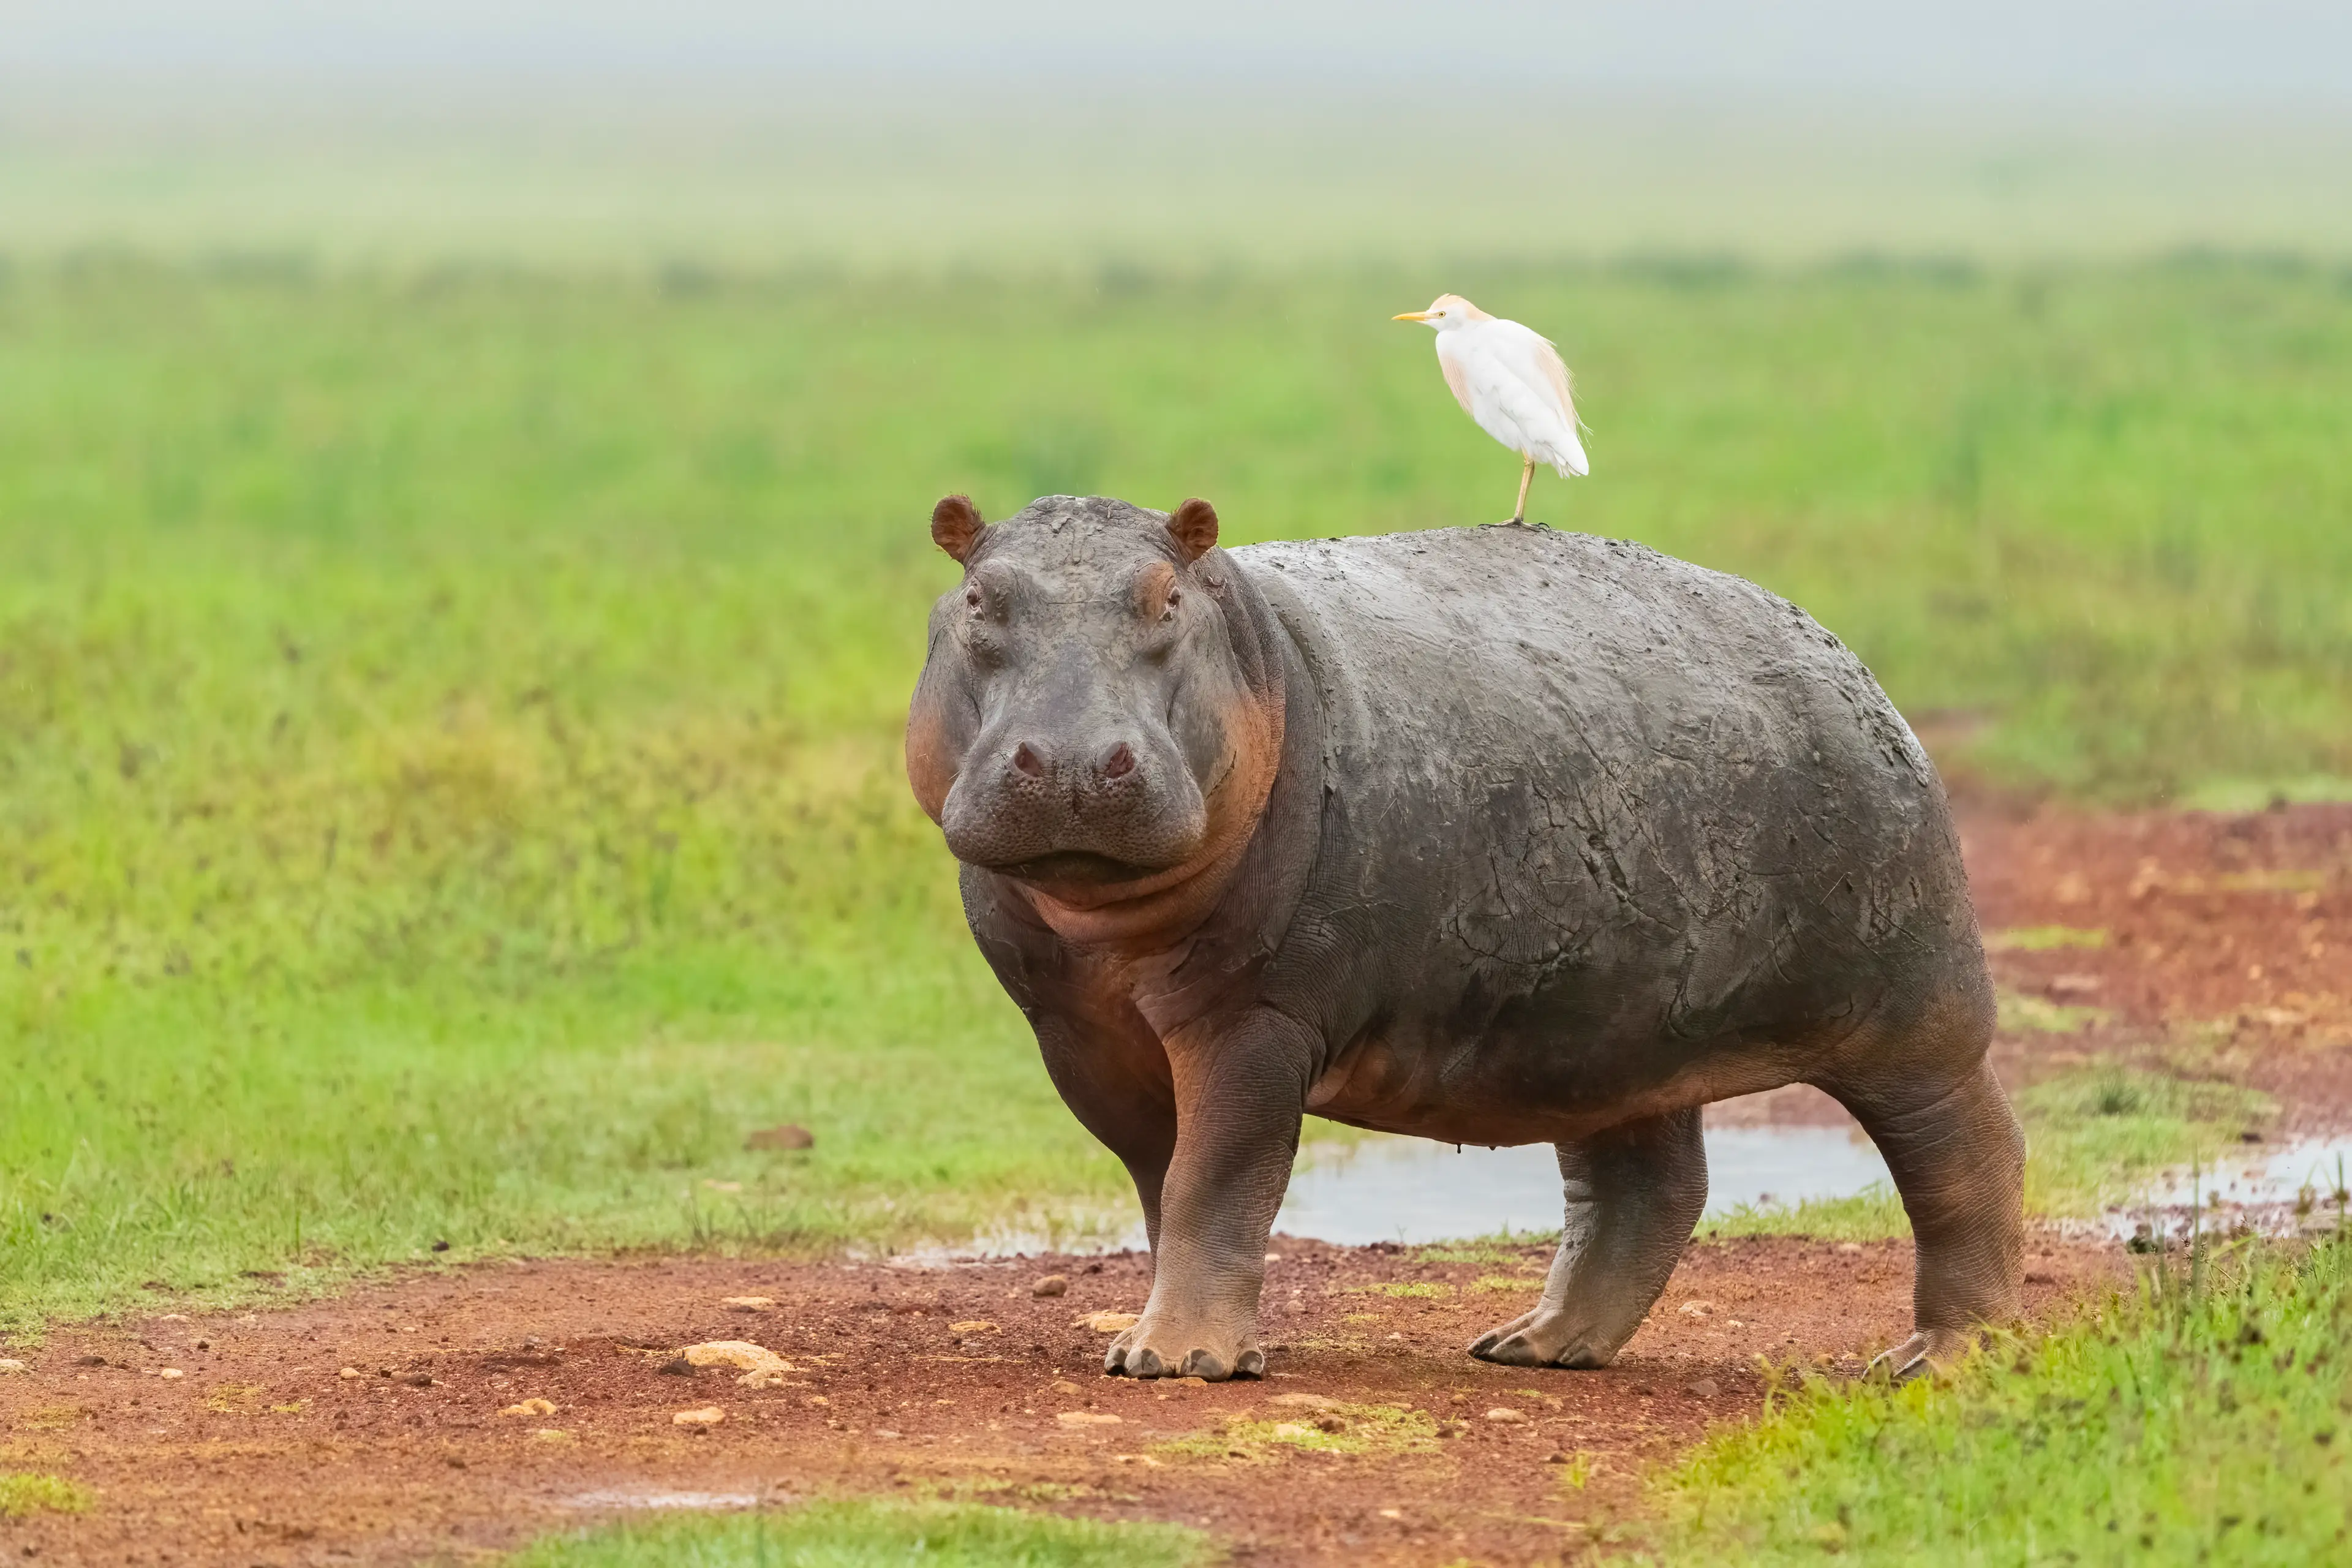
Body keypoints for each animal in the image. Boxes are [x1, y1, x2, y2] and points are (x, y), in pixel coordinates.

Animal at [906, 493, 2022, 1383]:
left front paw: (1176, 1362)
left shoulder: (1256, 1019)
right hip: (1604, 1030)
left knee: (1968, 1155)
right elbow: (1162, 1183)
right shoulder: (1080, 1036)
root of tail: (1842, 658)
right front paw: (1176, 1341)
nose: (1073, 761)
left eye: (1166, 603)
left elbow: (1218, 1176)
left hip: (1912, 1010)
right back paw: (1535, 1345)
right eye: (979, 602)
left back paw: (1940, 1360)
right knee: (1649, 1185)